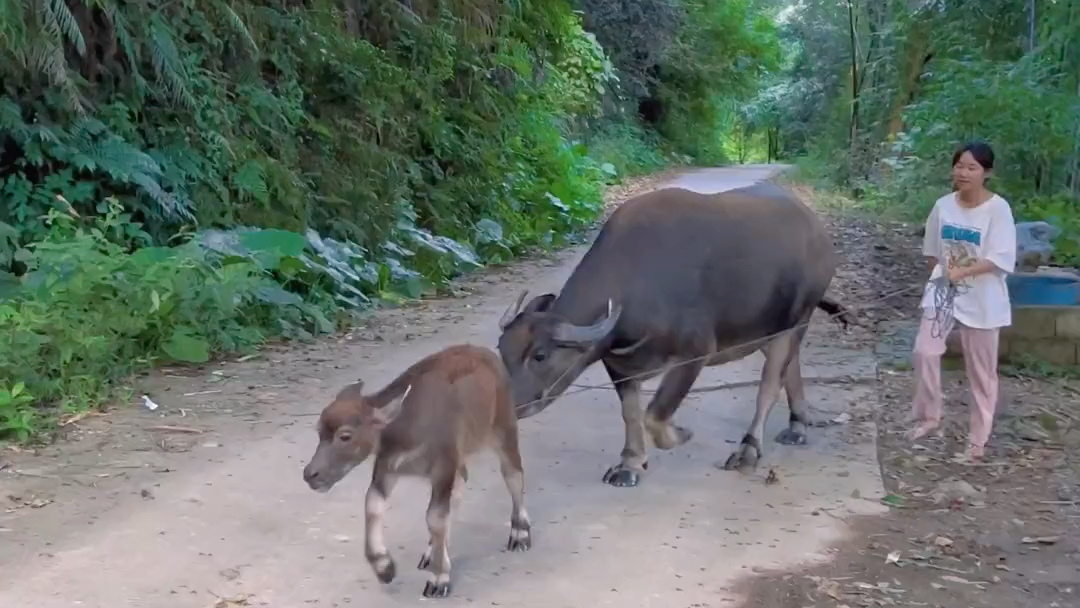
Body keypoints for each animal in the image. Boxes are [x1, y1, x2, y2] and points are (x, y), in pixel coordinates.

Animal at [302, 343, 529, 600]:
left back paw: (520, 534)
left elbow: (435, 517)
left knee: (513, 473)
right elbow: (372, 504)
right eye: (319, 432)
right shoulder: (388, 468)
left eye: (345, 436)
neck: (408, 428)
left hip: (504, 428)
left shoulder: (443, 466)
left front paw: (439, 579)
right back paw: (432, 552)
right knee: (461, 485)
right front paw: (384, 567)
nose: (310, 474)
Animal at [494, 182, 846, 490]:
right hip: (765, 328)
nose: (508, 407)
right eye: (501, 350)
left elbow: (655, 413)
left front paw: (681, 433)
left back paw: (748, 450)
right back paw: (798, 424)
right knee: (791, 366)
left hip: (799, 317)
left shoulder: (696, 352)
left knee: (771, 383)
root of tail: (817, 231)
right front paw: (630, 465)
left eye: (540, 355)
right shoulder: (618, 364)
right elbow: (631, 413)